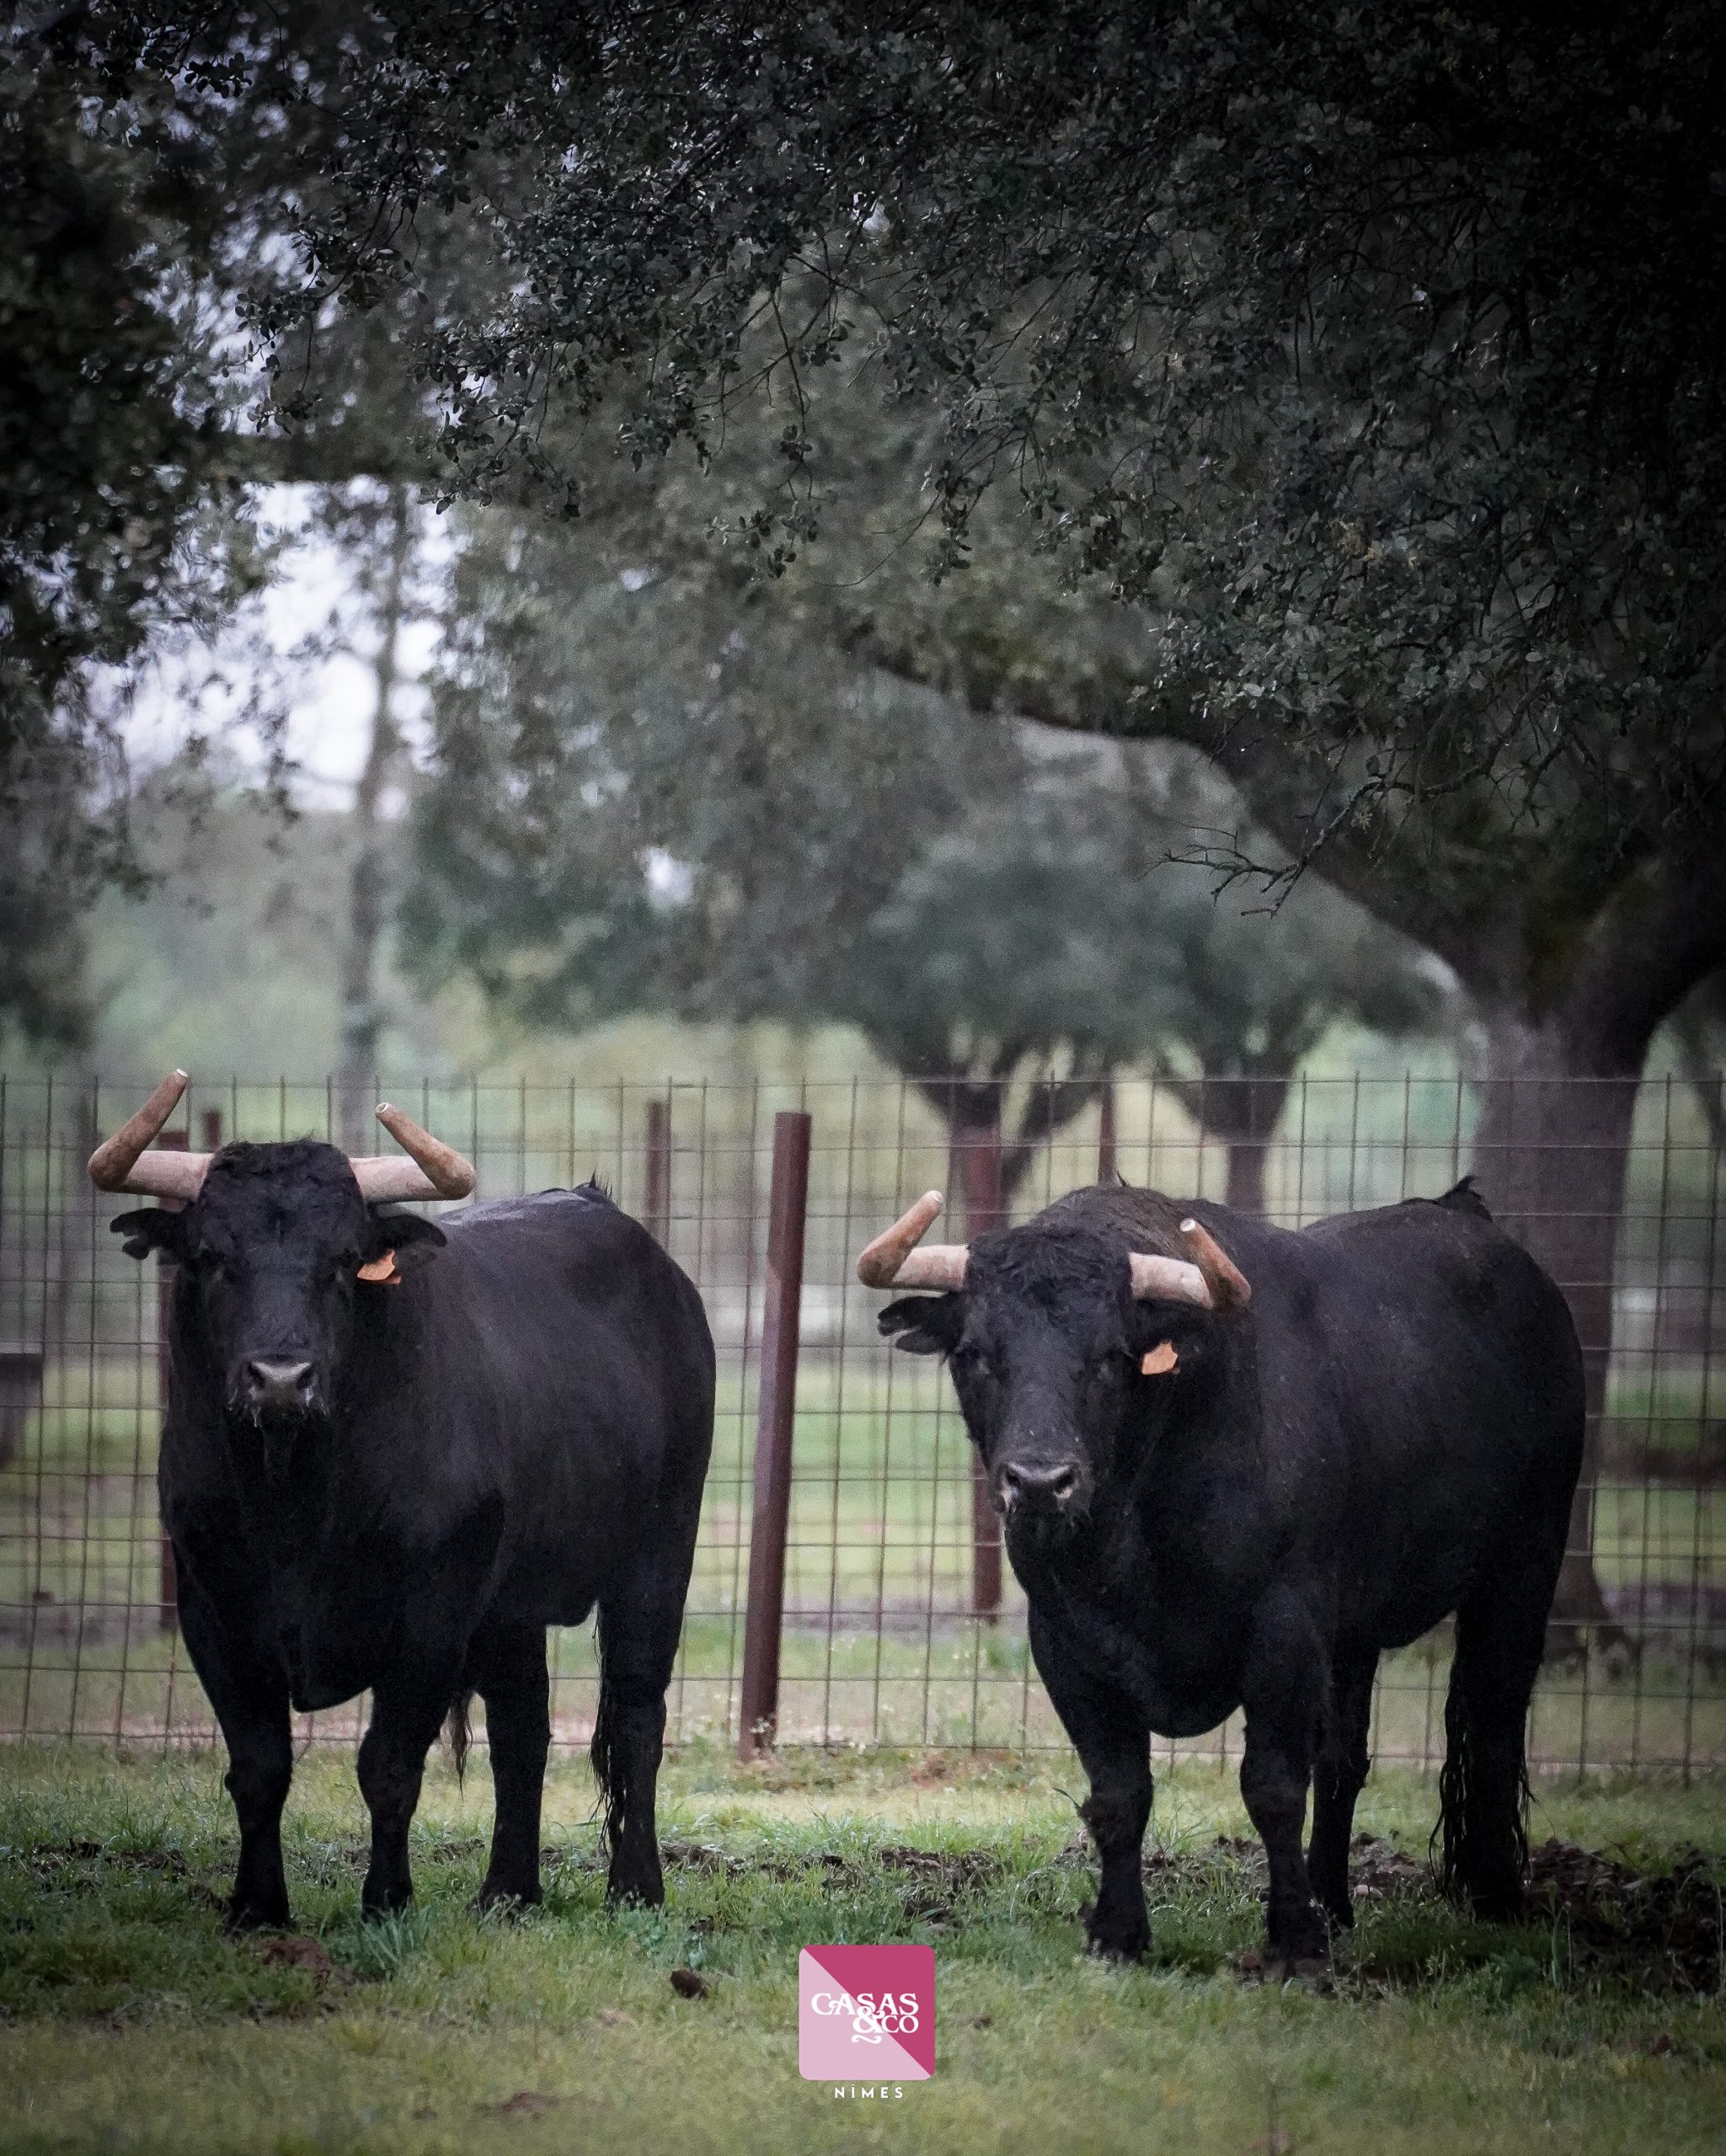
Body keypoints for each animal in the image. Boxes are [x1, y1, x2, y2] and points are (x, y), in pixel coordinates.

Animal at [90, 1072, 714, 1930]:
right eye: (214, 1258)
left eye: (343, 1260)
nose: (280, 1379)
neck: (295, 1501)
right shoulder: (213, 1610)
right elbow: (259, 1768)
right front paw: (257, 1907)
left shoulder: (429, 1618)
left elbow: (387, 1766)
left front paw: (385, 1901)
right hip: (511, 1604)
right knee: (522, 1728)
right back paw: (507, 1892)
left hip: (657, 1556)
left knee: (635, 1713)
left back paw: (635, 1887)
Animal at [854, 1178, 1583, 1969]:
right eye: (975, 1354)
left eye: (1111, 1355)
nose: (1040, 1484)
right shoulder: (1065, 1643)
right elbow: (1119, 1793)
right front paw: (1118, 1934)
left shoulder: (1284, 1630)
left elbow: (1272, 1787)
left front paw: (1292, 1943)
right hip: (1354, 1630)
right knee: (1345, 1758)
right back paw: (1335, 1904)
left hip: (1524, 1569)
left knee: (1492, 1723)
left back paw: (1493, 1898)